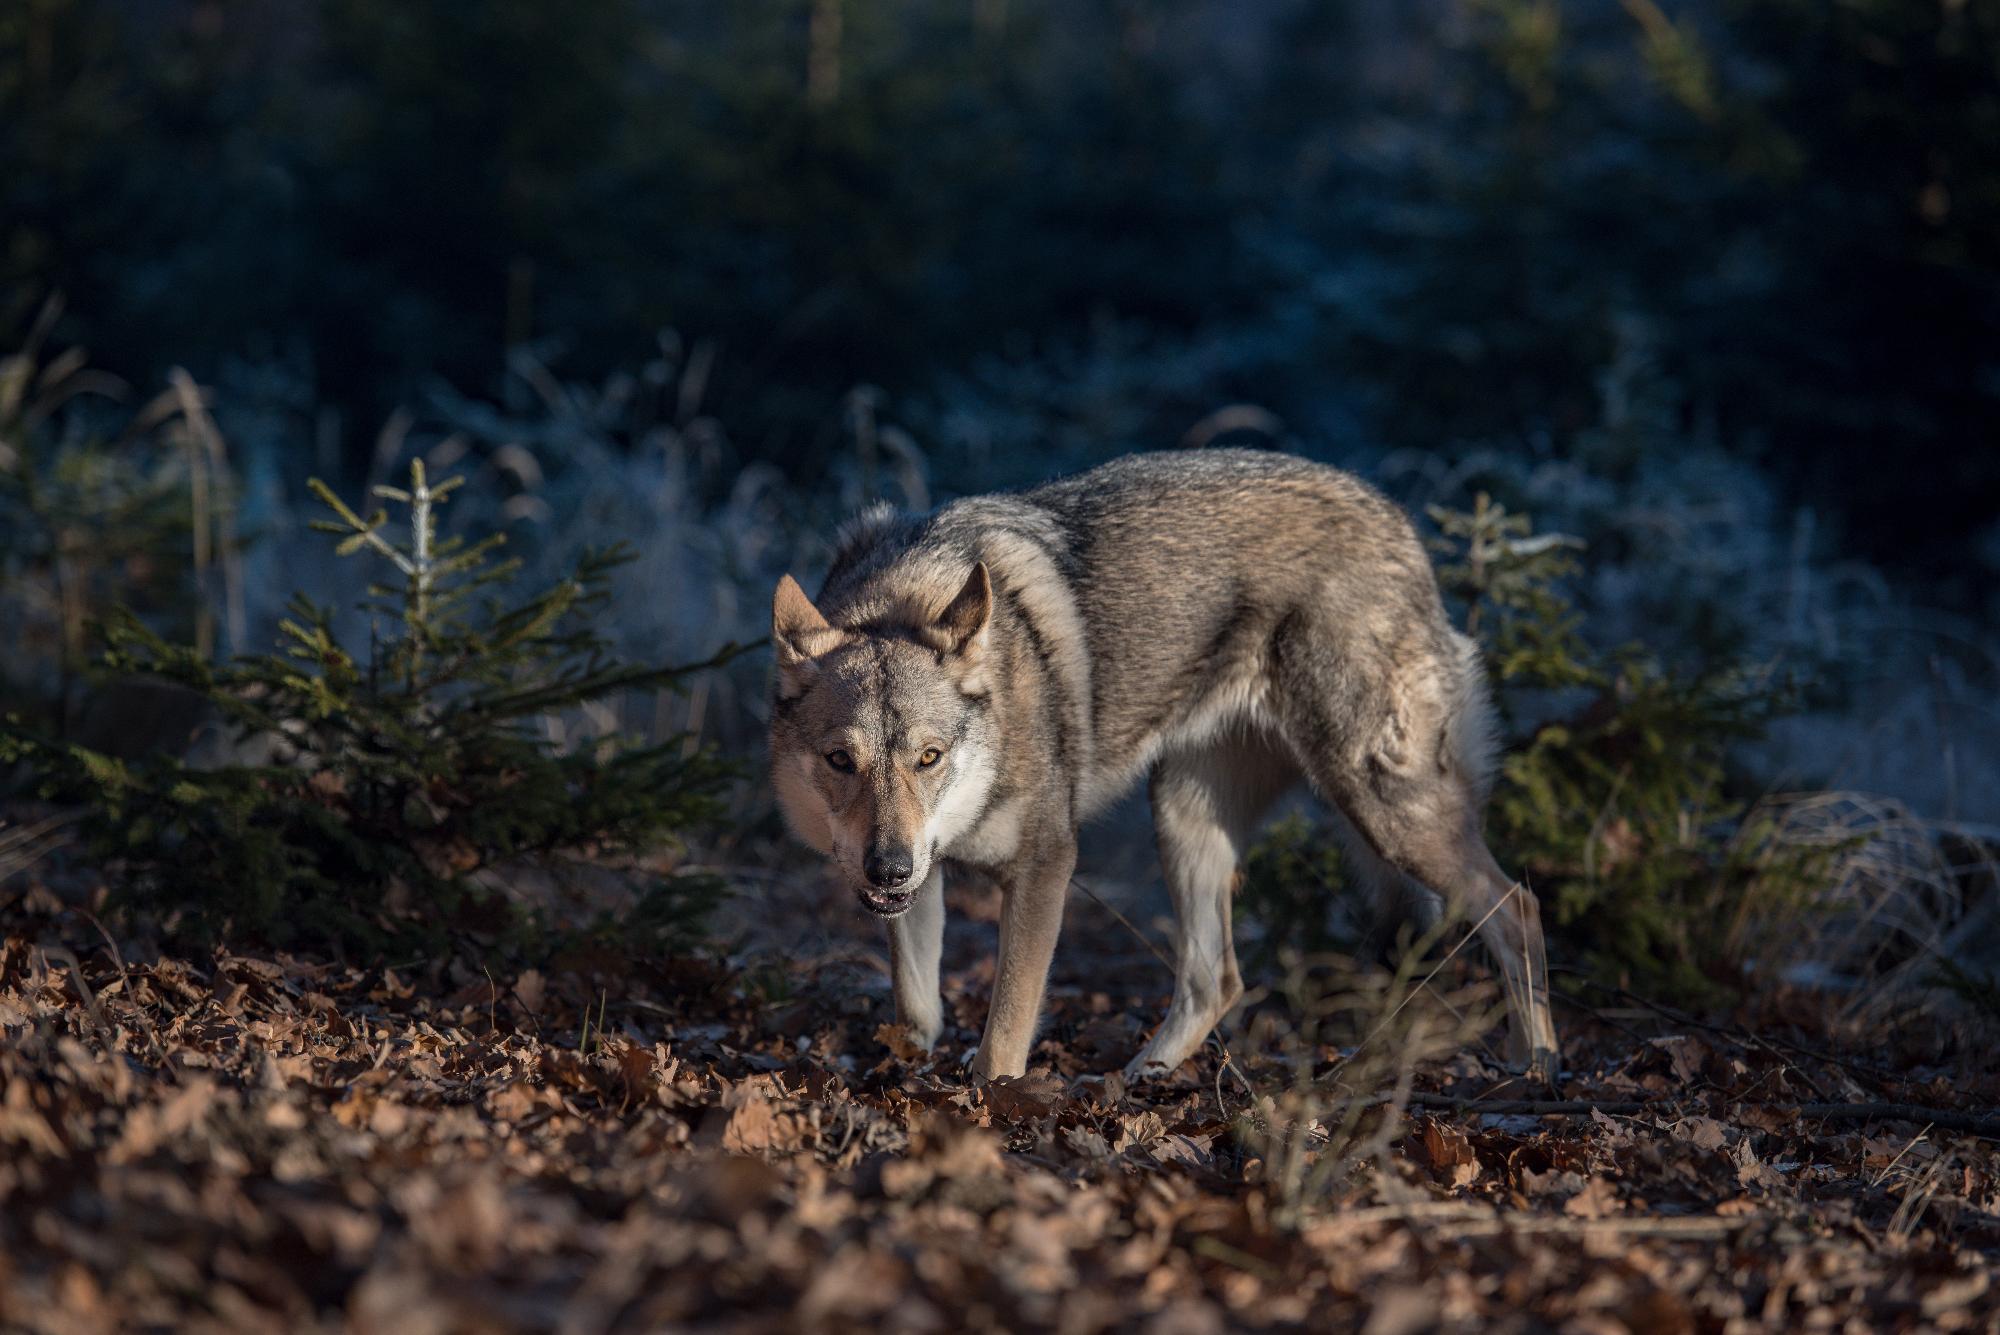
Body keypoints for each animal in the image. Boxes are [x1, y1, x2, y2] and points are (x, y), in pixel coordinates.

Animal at [768, 451, 1560, 1087]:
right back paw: (1139, 1078)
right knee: (1218, 981)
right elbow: (916, 1002)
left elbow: (1005, 1031)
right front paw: (913, 1065)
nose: (888, 867)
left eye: (928, 757)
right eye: (841, 760)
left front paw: (985, 1108)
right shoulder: (921, 881)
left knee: (1517, 905)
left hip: (1382, 810)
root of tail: (1399, 523)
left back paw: (1536, 1065)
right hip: (1185, 815)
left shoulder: (1046, 864)